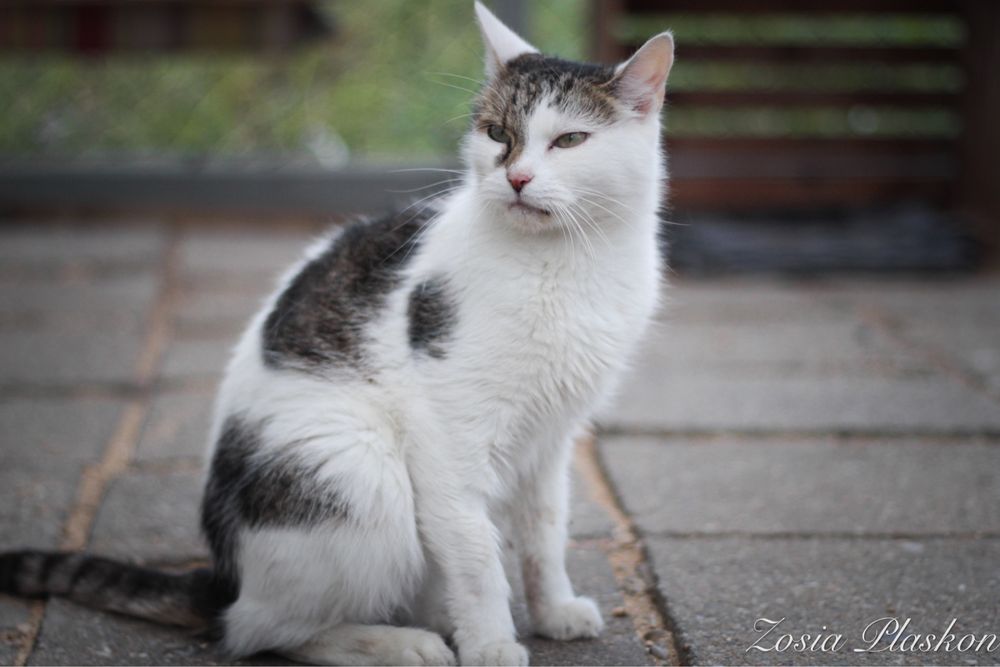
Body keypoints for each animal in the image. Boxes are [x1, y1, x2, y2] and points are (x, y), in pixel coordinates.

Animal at [0, 2, 676, 664]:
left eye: (570, 140)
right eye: (498, 135)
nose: (516, 180)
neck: (564, 263)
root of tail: (224, 573)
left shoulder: (551, 437)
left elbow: (543, 530)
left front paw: (553, 609)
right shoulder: (449, 435)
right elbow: (475, 552)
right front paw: (492, 645)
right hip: (359, 473)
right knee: (258, 629)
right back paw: (398, 643)